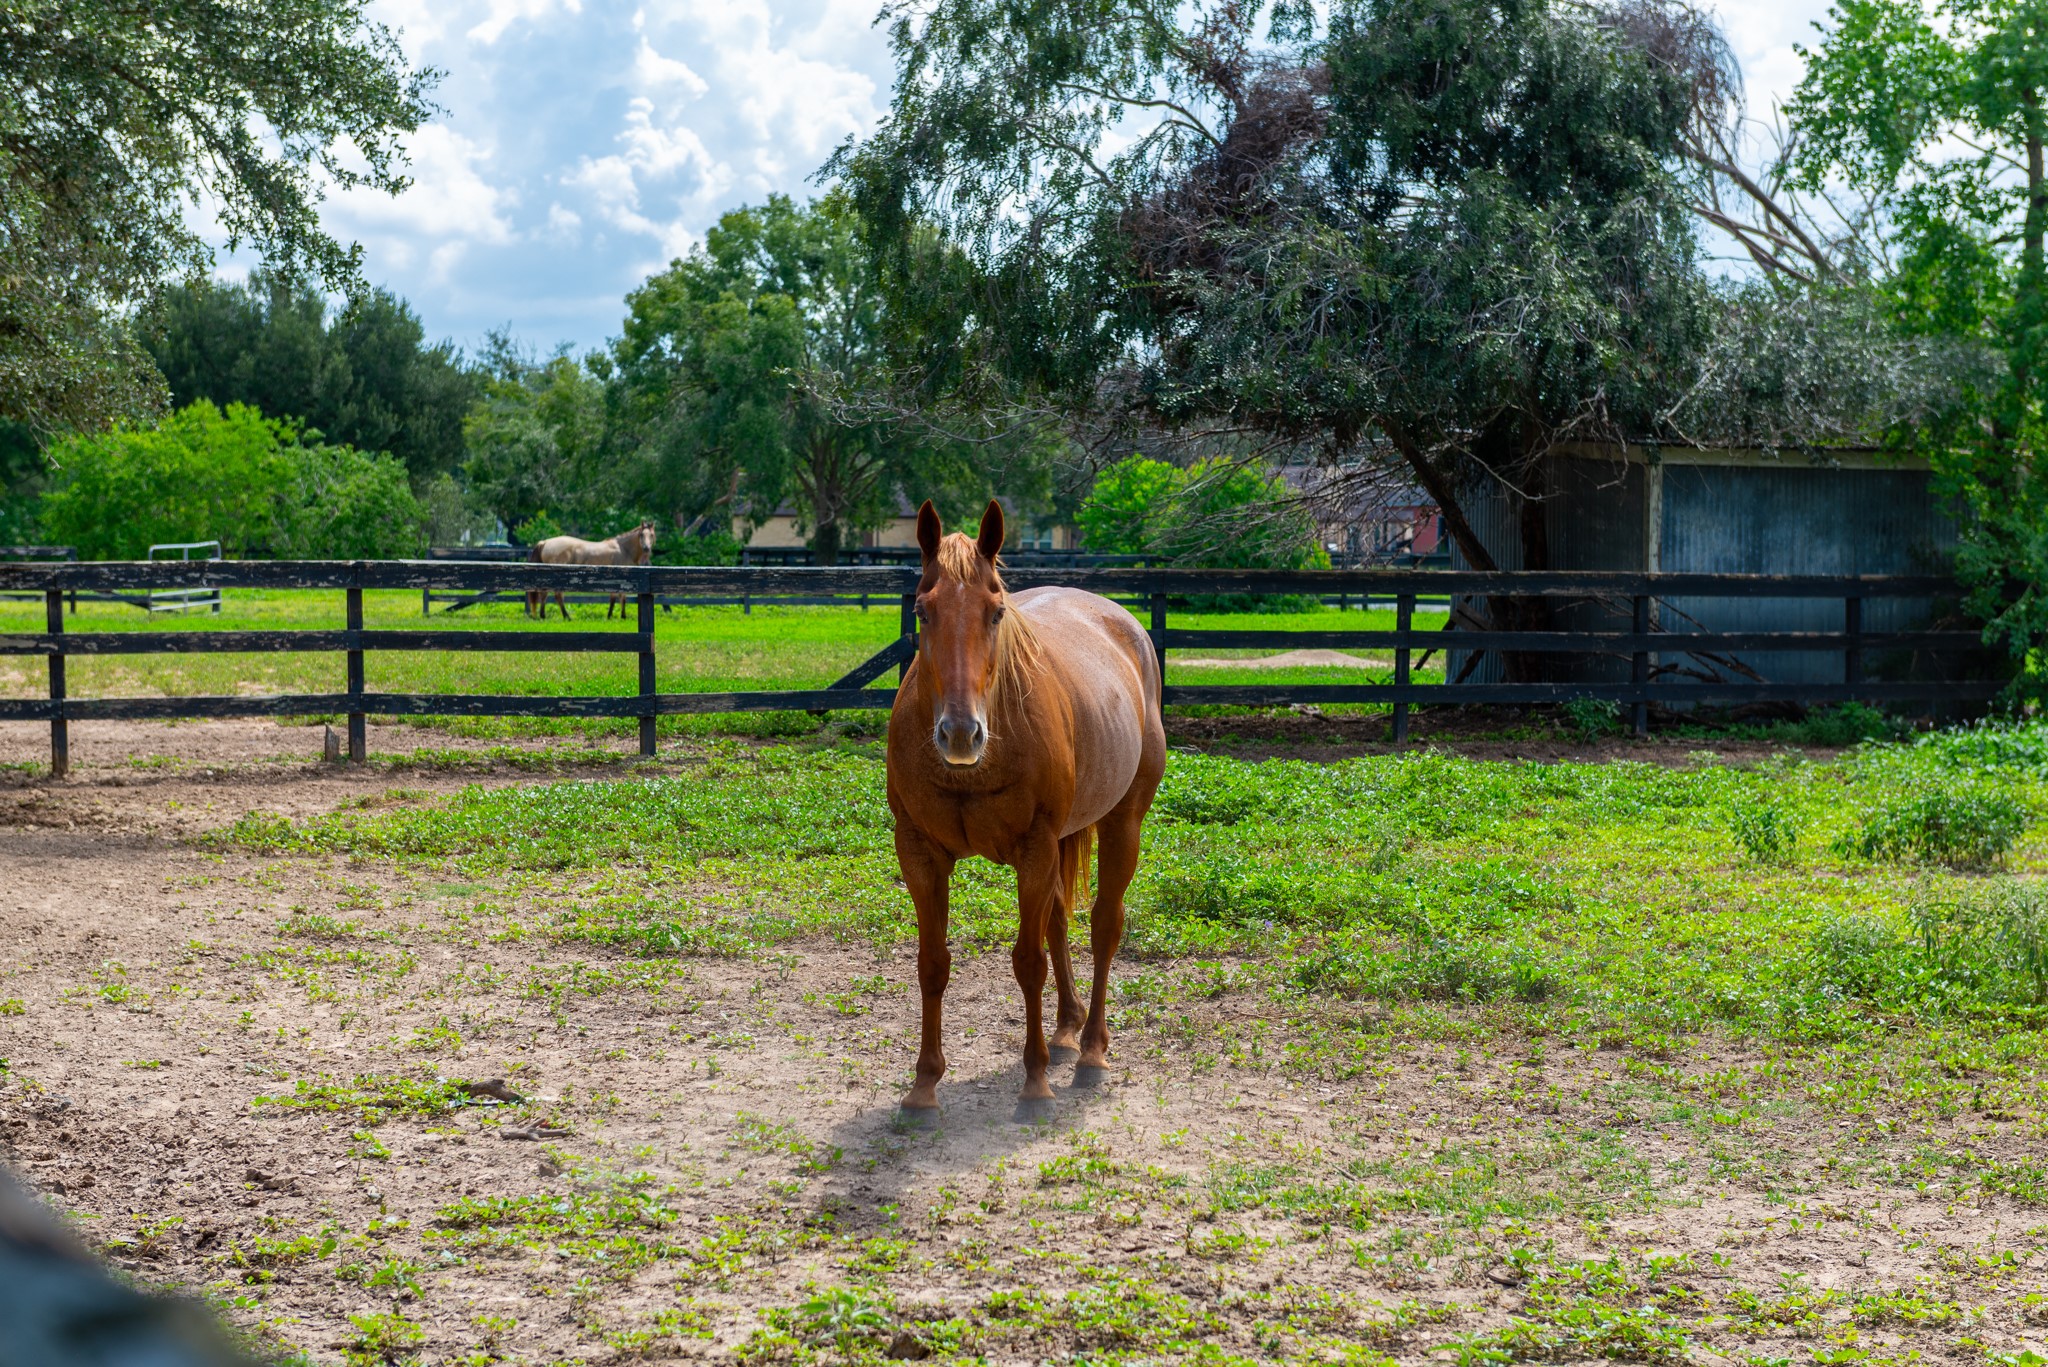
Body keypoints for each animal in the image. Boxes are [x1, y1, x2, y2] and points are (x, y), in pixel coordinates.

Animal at [525, 522, 656, 620]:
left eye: (652, 535)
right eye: (641, 534)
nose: (646, 548)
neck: (623, 549)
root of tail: (545, 542)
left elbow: (616, 597)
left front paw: (614, 616)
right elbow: (620, 597)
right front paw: (619, 616)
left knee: (544, 594)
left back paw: (543, 616)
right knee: (558, 596)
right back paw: (566, 617)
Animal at [886, 500, 1166, 1113]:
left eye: (995, 612)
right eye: (921, 610)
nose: (960, 734)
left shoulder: (1033, 849)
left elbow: (1027, 962)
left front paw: (1034, 1082)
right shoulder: (919, 853)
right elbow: (932, 962)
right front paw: (923, 1085)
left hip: (1122, 823)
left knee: (1104, 926)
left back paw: (1090, 1052)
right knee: (1058, 919)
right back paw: (1065, 1029)